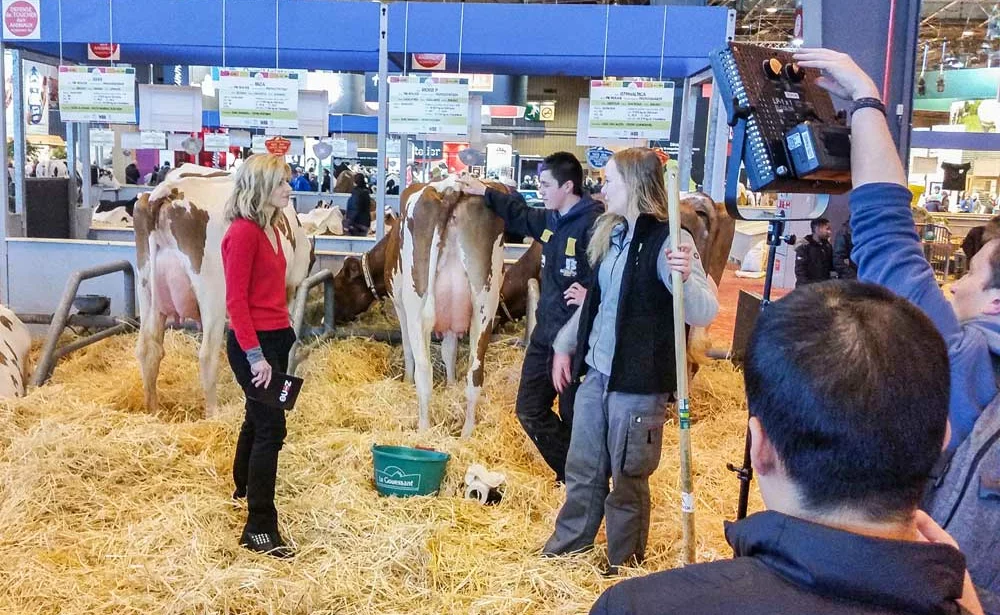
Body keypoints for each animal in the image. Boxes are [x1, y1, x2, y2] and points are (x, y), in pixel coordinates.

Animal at [134, 164, 312, 418]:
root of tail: (167, 192)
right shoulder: (289, 286)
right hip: (213, 295)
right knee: (207, 354)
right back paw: (213, 413)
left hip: (146, 287)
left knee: (148, 350)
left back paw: (153, 410)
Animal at [384, 178, 508, 438]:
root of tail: (451, 187)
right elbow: (449, 351)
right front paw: (451, 384)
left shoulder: (400, 307)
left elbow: (408, 349)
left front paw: (406, 380)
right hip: (485, 303)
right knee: (475, 373)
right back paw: (467, 433)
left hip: (416, 302)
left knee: (424, 371)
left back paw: (424, 429)